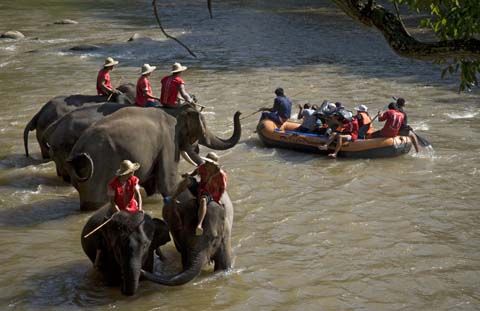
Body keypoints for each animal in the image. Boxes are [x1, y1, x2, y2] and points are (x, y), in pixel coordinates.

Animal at [65, 106, 242, 211]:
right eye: (202, 133)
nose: (238, 112)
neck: (175, 110)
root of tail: (76, 153)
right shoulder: (169, 142)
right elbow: (168, 185)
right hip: (99, 170)